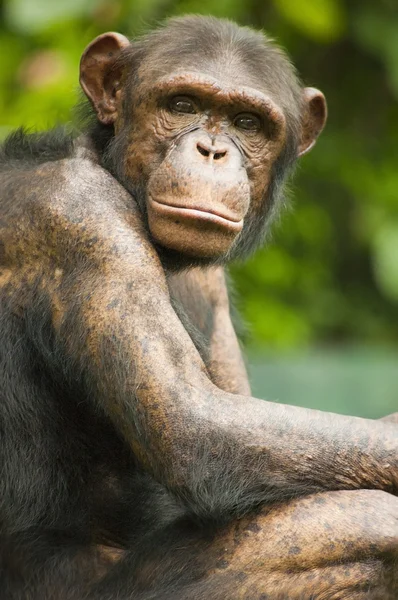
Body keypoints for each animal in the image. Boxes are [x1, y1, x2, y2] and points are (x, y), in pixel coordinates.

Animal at [0, 15, 396, 600]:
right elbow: (195, 426)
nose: (212, 150)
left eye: (247, 122)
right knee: (362, 524)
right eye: (182, 105)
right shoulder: (77, 217)